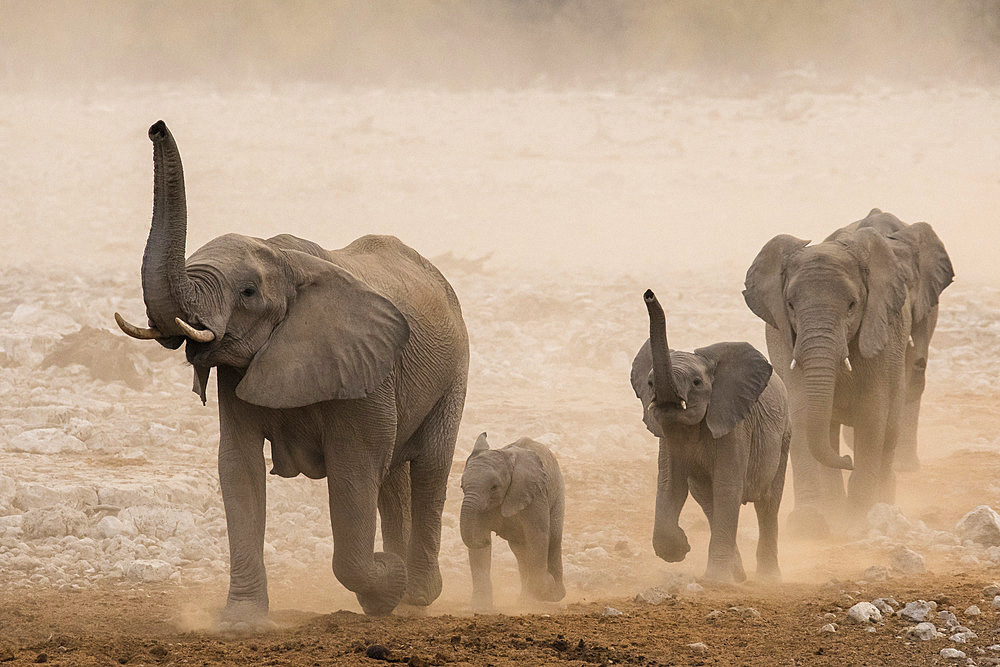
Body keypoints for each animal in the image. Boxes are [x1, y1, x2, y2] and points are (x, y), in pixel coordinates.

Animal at [116, 122, 468, 624]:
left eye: (247, 292)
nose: (156, 126)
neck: (285, 259)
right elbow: (238, 468)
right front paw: (241, 622)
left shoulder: (364, 371)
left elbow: (354, 471)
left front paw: (385, 583)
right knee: (394, 478)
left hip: (455, 369)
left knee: (429, 469)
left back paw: (416, 594)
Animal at [458, 430, 564, 612]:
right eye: (462, 486)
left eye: (494, 487)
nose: (487, 539)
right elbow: (478, 545)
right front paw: (480, 608)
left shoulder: (536, 494)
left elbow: (538, 535)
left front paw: (545, 589)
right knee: (520, 552)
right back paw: (524, 600)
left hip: (557, 496)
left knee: (553, 539)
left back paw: (552, 596)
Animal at [632, 290, 788, 580]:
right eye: (649, 383)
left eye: (696, 383)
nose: (648, 294)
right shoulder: (667, 435)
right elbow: (670, 484)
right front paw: (680, 547)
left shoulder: (734, 427)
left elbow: (727, 487)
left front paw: (716, 581)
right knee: (707, 501)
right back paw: (739, 575)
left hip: (785, 437)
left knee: (768, 503)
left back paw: (768, 579)